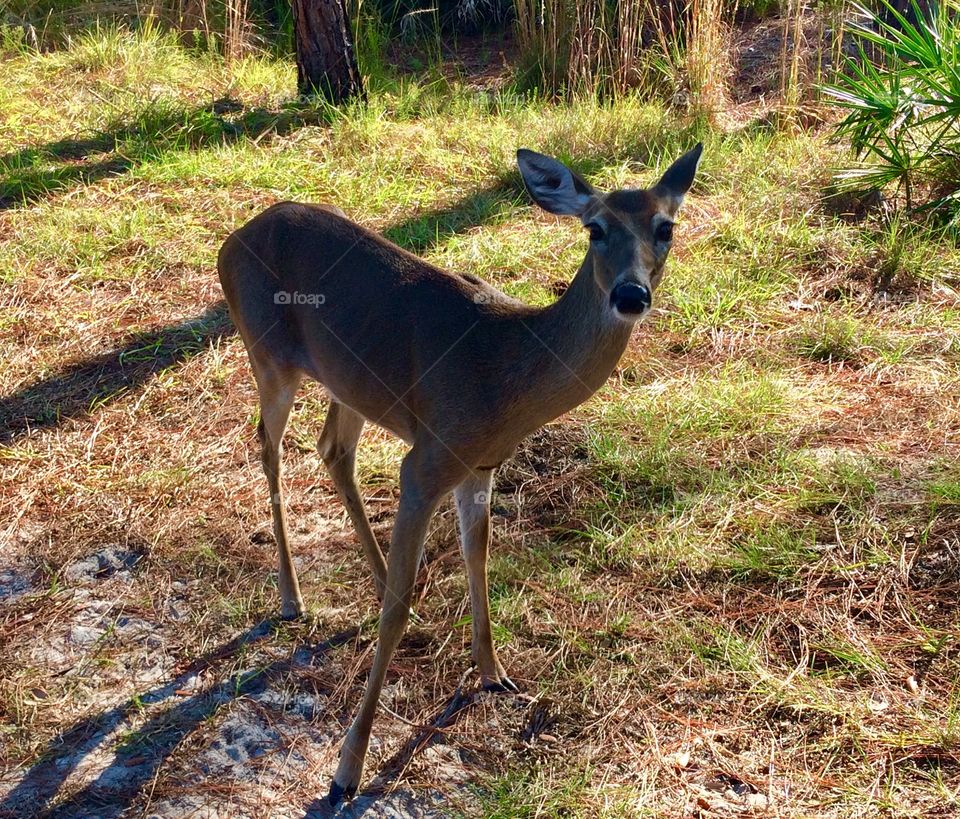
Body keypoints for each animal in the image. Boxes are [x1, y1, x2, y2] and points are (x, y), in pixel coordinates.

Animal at [217, 143, 702, 805]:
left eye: (665, 226)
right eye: (594, 228)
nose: (630, 295)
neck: (506, 373)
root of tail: (232, 240)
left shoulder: (478, 465)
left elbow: (478, 556)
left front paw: (494, 672)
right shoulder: (429, 458)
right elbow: (396, 612)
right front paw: (349, 768)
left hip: (350, 381)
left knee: (332, 449)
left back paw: (376, 576)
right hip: (268, 355)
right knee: (268, 447)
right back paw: (292, 597)